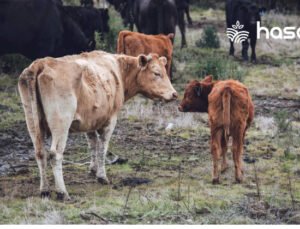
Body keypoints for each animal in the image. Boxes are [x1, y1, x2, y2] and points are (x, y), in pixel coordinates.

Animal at [18, 50, 178, 200]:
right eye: (156, 73)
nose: (174, 94)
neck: (118, 71)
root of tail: (41, 63)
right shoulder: (110, 120)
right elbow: (102, 148)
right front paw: (102, 176)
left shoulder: (89, 120)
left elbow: (93, 144)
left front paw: (93, 169)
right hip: (61, 123)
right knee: (55, 154)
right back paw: (62, 192)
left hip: (32, 121)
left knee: (40, 153)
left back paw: (44, 190)